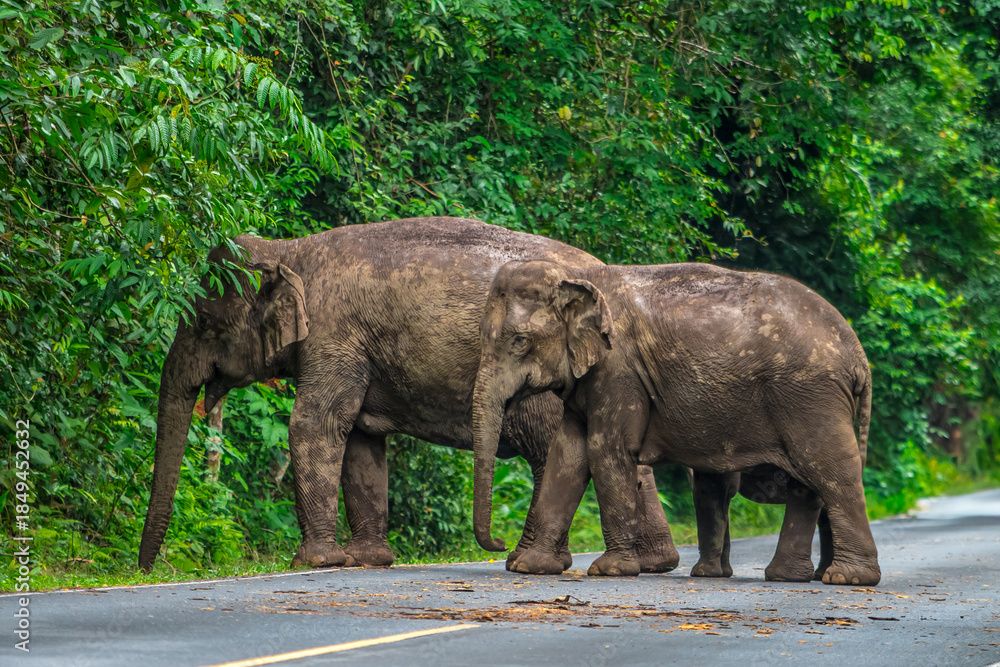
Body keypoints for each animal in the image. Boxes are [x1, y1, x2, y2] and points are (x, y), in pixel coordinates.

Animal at [138, 217, 679, 574]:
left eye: (204, 324)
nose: (148, 569)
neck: (289, 251)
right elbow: (360, 440)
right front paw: (367, 560)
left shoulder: (335, 334)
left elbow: (316, 424)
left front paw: (317, 562)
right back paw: (656, 563)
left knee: (552, 449)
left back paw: (529, 560)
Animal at [470, 259, 879, 586]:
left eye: (520, 341)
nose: (499, 545)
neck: (581, 278)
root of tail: (857, 353)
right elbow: (567, 455)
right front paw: (529, 567)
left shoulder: (619, 370)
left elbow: (606, 452)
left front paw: (610, 571)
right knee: (807, 482)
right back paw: (789, 577)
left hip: (809, 396)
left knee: (828, 470)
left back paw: (847, 579)